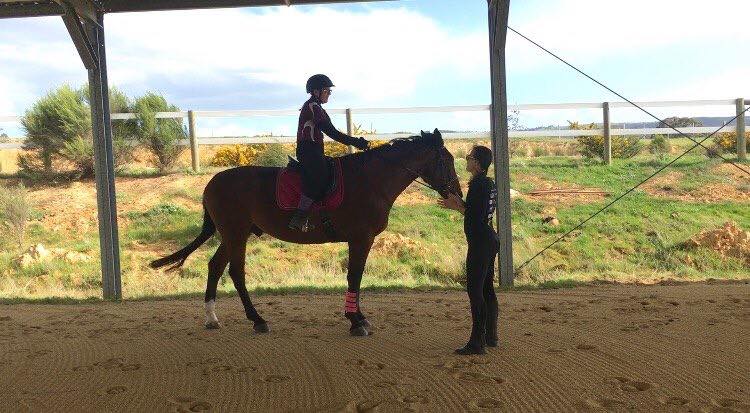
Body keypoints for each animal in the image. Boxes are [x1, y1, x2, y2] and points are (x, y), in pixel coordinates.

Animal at [150, 128, 462, 334]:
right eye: (446, 161)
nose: (457, 194)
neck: (372, 180)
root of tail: (212, 183)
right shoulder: (361, 238)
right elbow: (355, 276)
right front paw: (355, 321)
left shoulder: (360, 239)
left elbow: (355, 277)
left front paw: (358, 317)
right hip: (236, 233)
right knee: (235, 272)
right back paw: (257, 319)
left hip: (234, 234)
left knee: (215, 265)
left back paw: (212, 318)